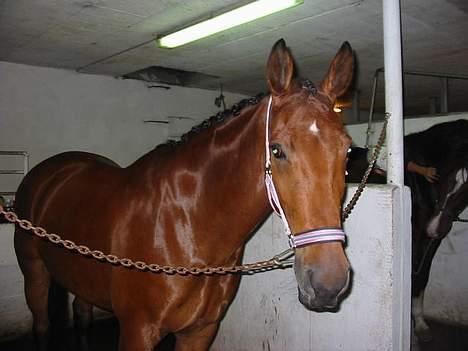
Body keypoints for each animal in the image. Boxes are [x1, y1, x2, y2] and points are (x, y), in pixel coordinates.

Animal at [12, 39, 352, 351]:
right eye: (277, 150)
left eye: (348, 150)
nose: (328, 283)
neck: (188, 227)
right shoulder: (137, 331)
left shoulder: (200, 330)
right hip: (35, 275)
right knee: (41, 325)